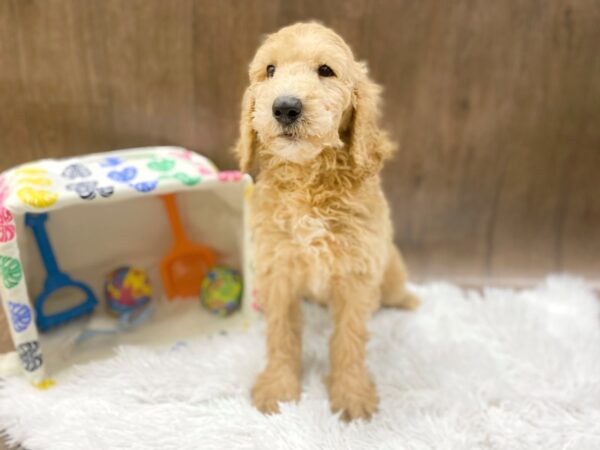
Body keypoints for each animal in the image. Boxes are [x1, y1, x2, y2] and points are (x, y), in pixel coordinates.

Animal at [233, 22, 418, 422]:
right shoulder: (278, 269)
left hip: (390, 270)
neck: (309, 181)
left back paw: (409, 300)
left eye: (325, 71)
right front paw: (278, 389)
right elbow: (281, 333)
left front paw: (351, 396)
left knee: (393, 292)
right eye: (270, 70)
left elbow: (349, 338)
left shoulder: (357, 273)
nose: (285, 107)